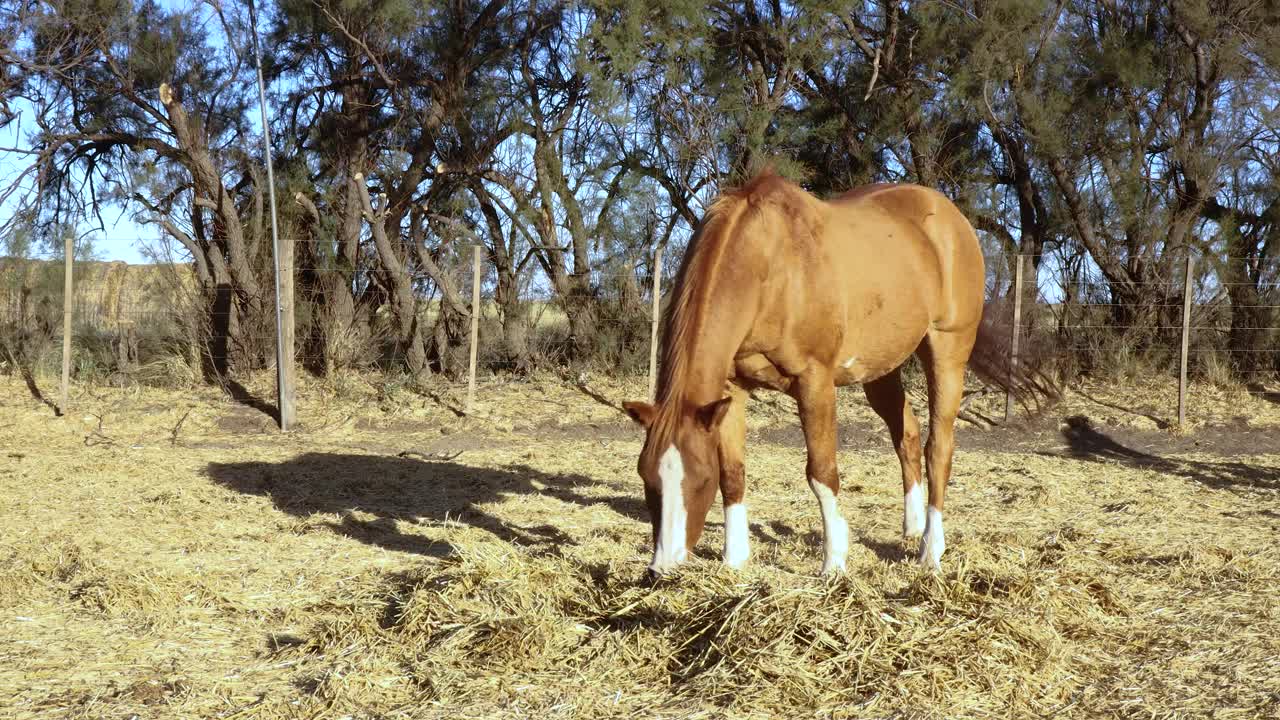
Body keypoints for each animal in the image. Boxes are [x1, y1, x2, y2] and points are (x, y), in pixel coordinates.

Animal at [624, 169, 1013, 576]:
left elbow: (822, 473)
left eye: (700, 481)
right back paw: (912, 527)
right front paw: (734, 561)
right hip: (880, 370)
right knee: (906, 434)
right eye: (646, 477)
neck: (770, 267)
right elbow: (733, 472)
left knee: (938, 448)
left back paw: (930, 549)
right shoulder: (731, 389)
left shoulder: (815, 382)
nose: (661, 567)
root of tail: (951, 217)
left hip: (947, 353)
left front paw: (834, 563)